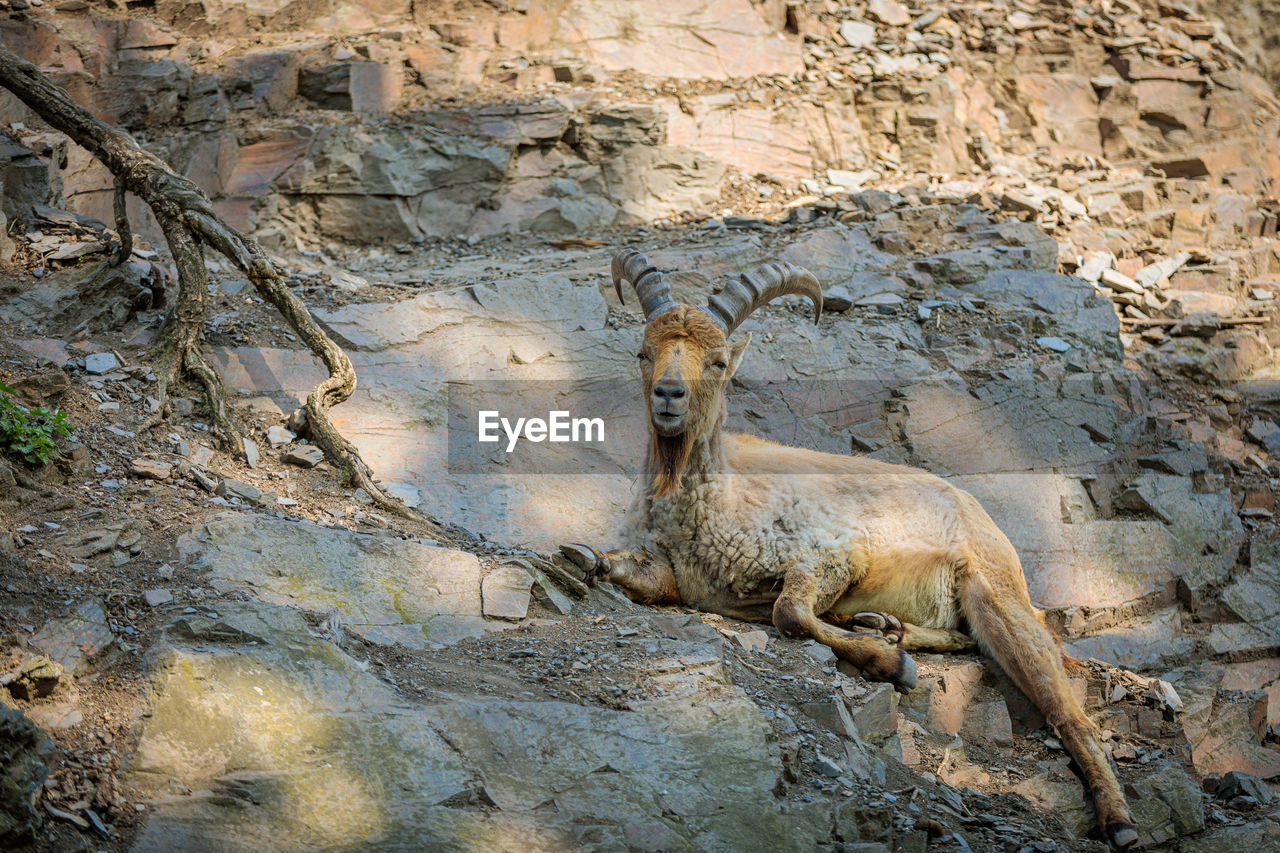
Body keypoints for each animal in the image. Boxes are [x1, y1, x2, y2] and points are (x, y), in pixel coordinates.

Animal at [570, 249, 1141, 845]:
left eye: (719, 362)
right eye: (643, 352)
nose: (668, 395)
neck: (714, 500)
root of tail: (977, 510)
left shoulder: (831, 553)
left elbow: (789, 611)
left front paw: (892, 667)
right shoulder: (681, 574)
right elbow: (642, 575)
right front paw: (588, 558)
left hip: (993, 590)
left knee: (1066, 709)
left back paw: (1119, 820)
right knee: (967, 639)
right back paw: (884, 626)